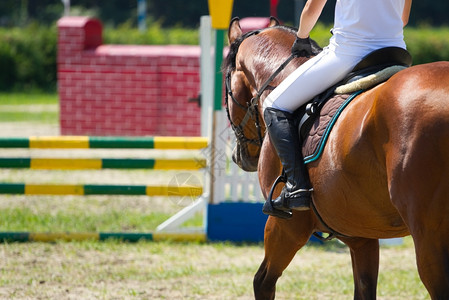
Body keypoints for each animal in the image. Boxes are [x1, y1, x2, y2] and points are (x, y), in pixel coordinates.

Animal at [226, 17, 448, 298]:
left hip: (428, 236)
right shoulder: (361, 235)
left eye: (226, 83)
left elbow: (262, 282)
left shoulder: (287, 225)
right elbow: (364, 288)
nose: (240, 157)